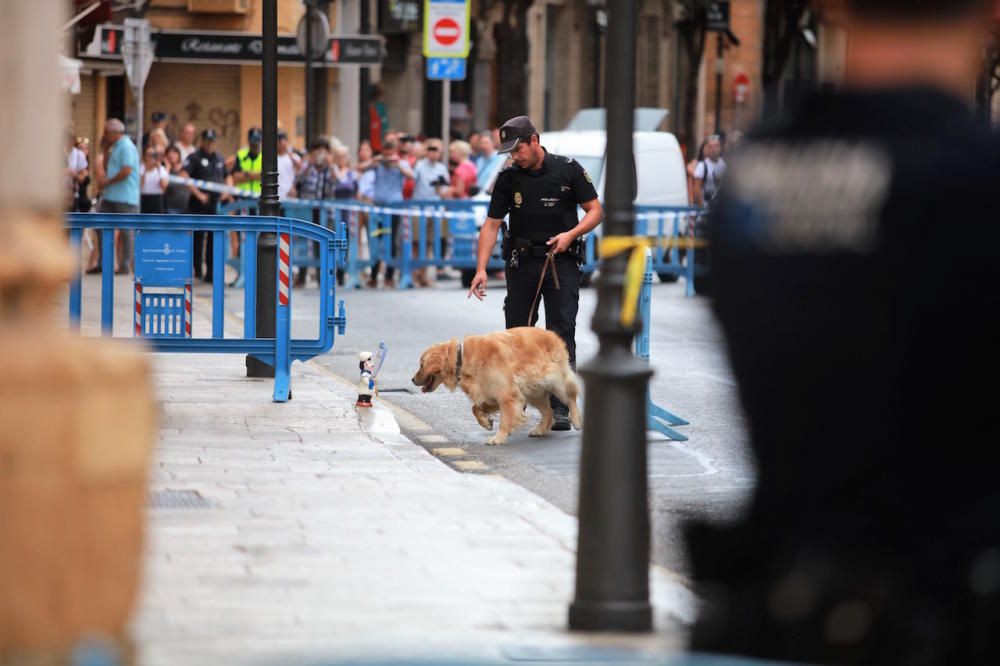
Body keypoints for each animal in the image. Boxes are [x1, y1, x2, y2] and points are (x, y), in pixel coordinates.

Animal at [410, 326, 584, 444]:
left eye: (421, 365)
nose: (412, 380)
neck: (462, 359)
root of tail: (552, 334)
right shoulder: (488, 392)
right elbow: (475, 408)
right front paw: (486, 422)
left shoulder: (507, 394)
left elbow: (505, 419)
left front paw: (498, 437)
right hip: (533, 391)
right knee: (548, 411)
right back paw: (540, 430)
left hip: (556, 382)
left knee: (571, 397)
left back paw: (576, 421)